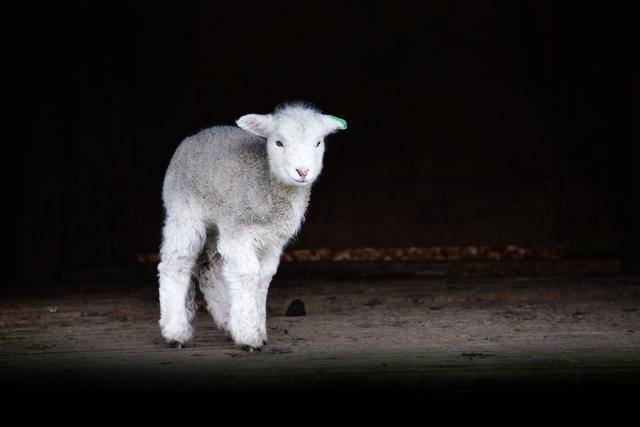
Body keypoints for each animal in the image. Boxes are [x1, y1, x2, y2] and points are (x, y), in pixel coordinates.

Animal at [158, 103, 348, 352]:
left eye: (318, 143)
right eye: (278, 143)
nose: (302, 172)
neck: (266, 186)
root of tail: (196, 136)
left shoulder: (272, 241)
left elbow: (263, 277)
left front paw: (257, 328)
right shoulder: (238, 231)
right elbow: (247, 273)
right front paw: (249, 335)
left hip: (219, 223)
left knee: (210, 266)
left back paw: (227, 319)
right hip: (184, 210)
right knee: (175, 262)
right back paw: (176, 331)